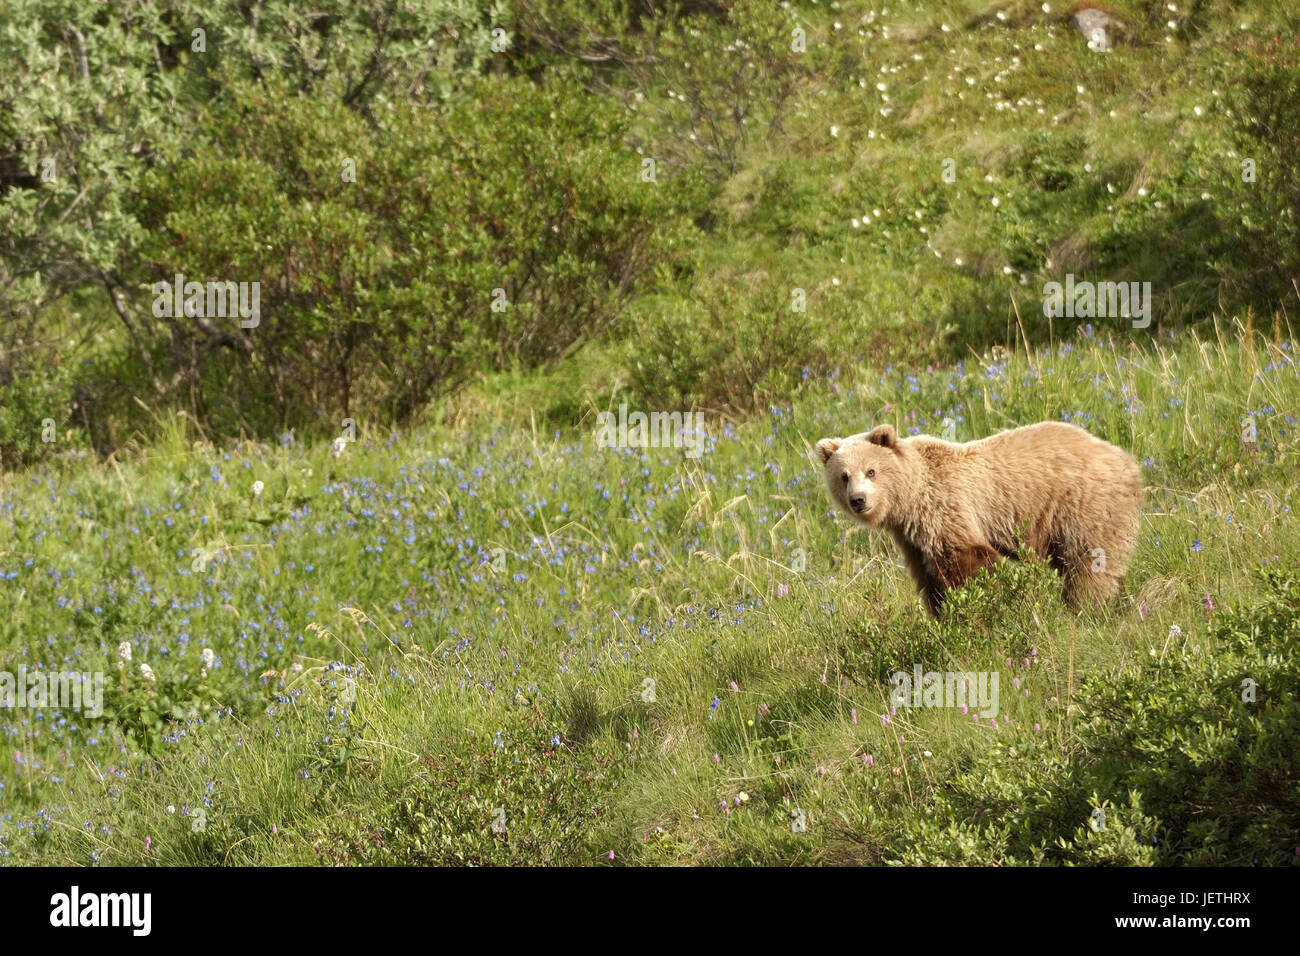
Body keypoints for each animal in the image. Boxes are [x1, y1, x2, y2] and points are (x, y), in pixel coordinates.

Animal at [816, 421, 1144, 616]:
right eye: (843, 476)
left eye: (871, 471)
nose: (859, 500)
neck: (908, 501)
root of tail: (1126, 460)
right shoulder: (911, 538)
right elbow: (930, 579)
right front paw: (942, 614)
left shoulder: (945, 507)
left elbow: (970, 561)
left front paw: (979, 611)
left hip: (1083, 504)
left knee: (1089, 562)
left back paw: (1083, 607)